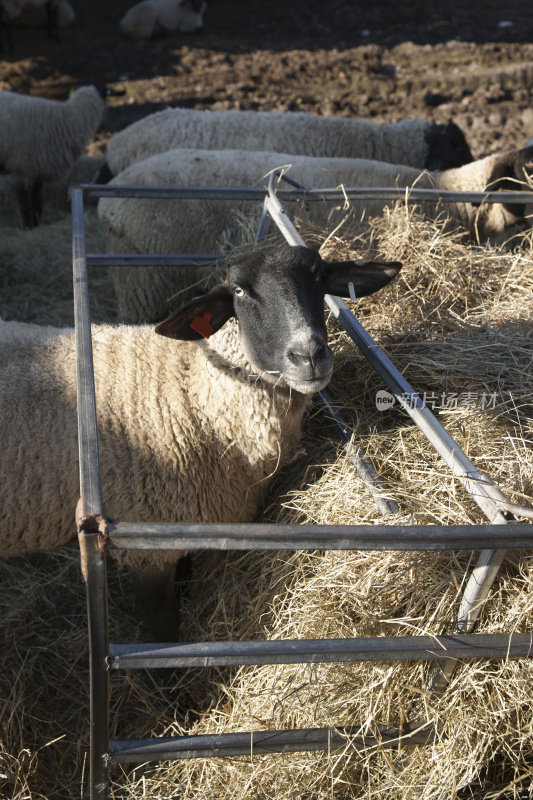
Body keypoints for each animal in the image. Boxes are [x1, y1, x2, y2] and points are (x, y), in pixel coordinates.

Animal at [0, 85, 105, 227]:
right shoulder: (19, 168)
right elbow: (25, 205)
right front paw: (28, 226)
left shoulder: (38, 171)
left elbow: (37, 202)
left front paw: (36, 224)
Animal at [0, 244, 400, 636]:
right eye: (238, 291)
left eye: (319, 276)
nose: (309, 356)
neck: (194, 393)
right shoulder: (146, 542)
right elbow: (165, 627)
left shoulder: (181, 528)